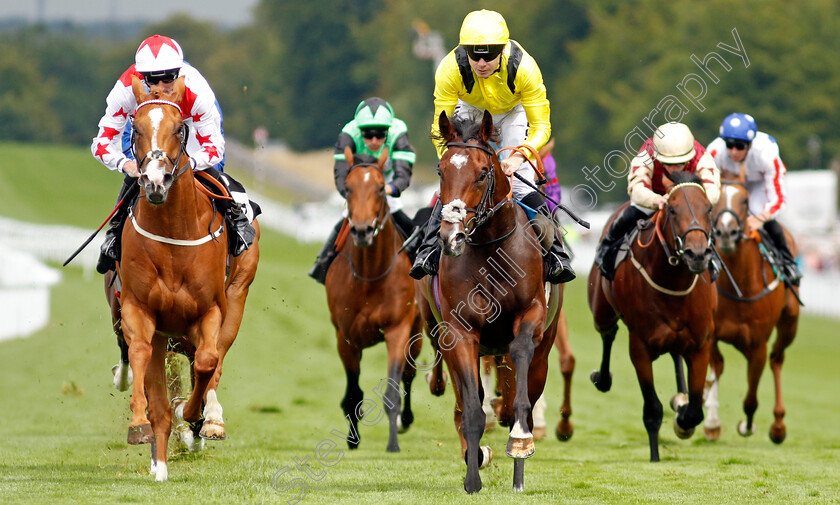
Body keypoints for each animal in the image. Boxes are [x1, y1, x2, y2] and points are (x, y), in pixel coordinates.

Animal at [113, 76, 260, 480]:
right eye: (136, 129)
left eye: (180, 129)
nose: (154, 181)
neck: (173, 232)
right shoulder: (139, 309)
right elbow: (140, 354)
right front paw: (141, 426)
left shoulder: (209, 310)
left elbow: (207, 362)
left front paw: (196, 416)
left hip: (237, 299)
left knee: (214, 360)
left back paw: (208, 420)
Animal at [324, 146, 424, 452]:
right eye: (347, 188)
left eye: (381, 188)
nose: (362, 230)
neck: (371, 275)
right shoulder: (345, 337)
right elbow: (353, 393)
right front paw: (352, 439)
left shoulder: (397, 329)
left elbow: (392, 390)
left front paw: (393, 443)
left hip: (417, 331)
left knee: (409, 374)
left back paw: (406, 420)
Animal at [424, 110, 560, 492]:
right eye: (441, 170)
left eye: (483, 172)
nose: (451, 236)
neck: (490, 248)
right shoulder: (460, 332)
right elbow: (472, 410)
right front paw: (473, 475)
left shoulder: (531, 317)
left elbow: (519, 387)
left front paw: (520, 441)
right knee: (462, 405)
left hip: (544, 352)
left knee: (521, 393)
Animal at [592, 171, 716, 462]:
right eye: (672, 209)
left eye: (708, 208)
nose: (696, 254)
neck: (673, 281)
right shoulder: (640, 347)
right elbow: (652, 410)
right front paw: (655, 456)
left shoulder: (701, 344)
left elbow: (695, 411)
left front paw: (682, 418)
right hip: (601, 309)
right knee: (607, 332)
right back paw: (602, 378)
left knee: (676, 356)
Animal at [704, 173, 800, 440]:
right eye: (715, 199)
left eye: (745, 201)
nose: (726, 232)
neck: (740, 285)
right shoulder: (711, 334)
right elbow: (717, 366)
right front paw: (711, 421)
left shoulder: (757, 345)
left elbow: (751, 400)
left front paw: (747, 426)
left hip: (790, 323)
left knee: (777, 358)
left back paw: (778, 425)